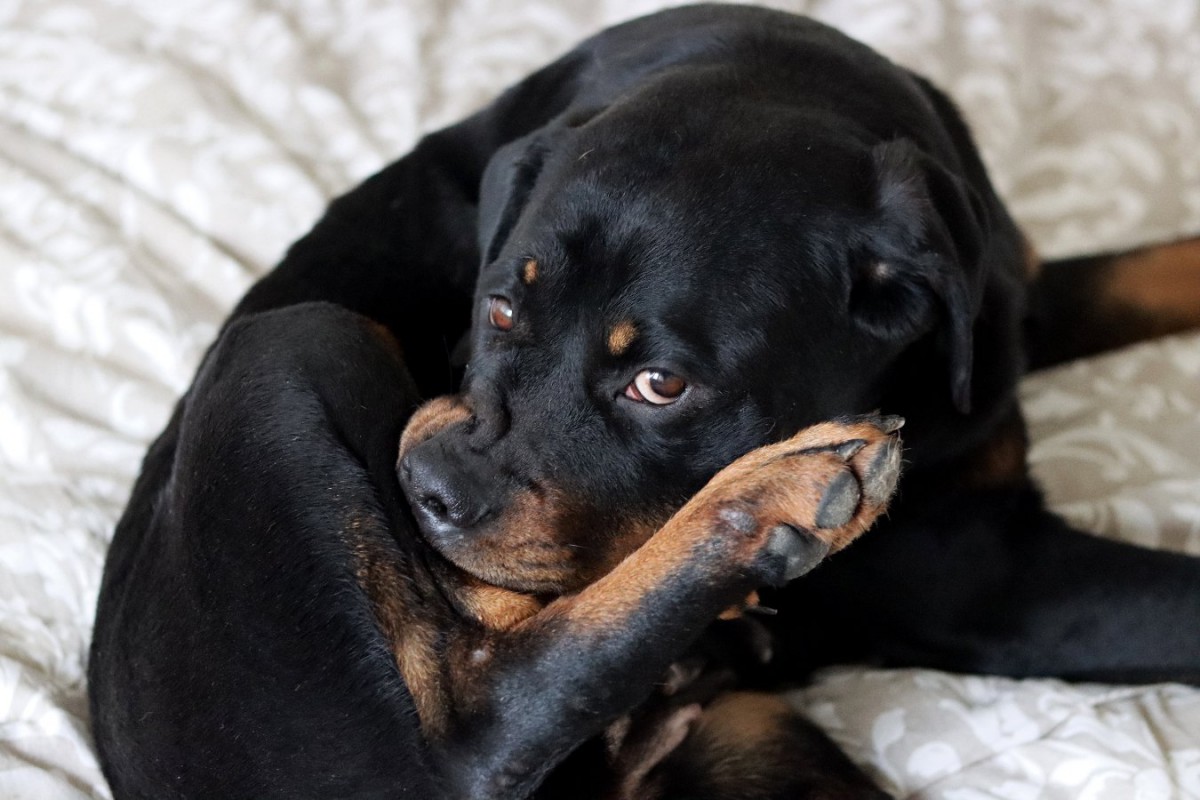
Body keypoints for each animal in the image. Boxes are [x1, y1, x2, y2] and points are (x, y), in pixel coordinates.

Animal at [87, 6, 1200, 800]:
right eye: (499, 306)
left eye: (661, 383)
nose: (428, 491)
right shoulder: (980, 575)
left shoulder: (1012, 289)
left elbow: (1156, 267)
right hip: (290, 341)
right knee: (478, 721)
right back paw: (776, 503)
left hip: (750, 737)